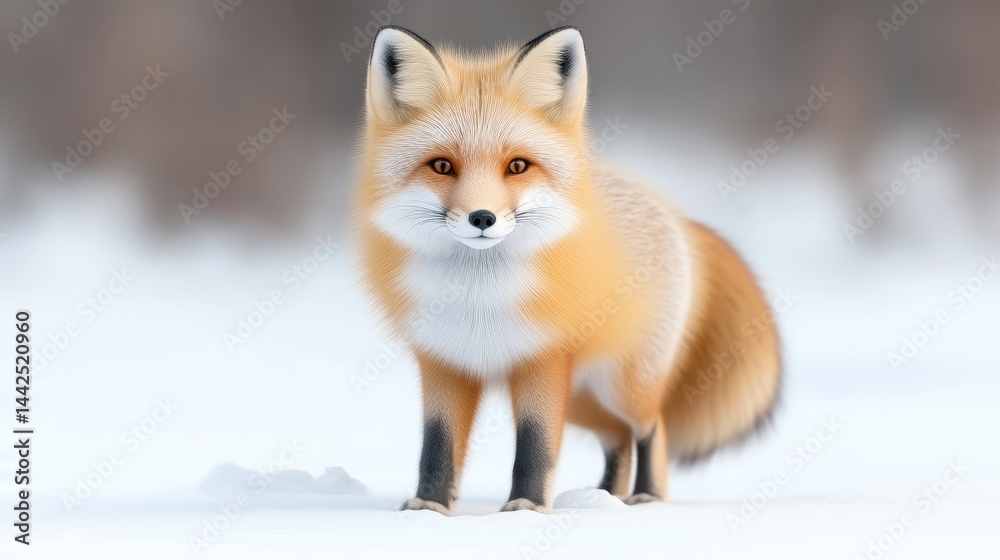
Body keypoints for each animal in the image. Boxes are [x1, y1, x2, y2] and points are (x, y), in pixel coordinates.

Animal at [353, 25, 780, 514]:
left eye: (517, 166)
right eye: (442, 165)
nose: (482, 217)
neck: (478, 299)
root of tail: (672, 214)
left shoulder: (544, 361)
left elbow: (536, 444)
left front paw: (526, 507)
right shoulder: (445, 362)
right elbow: (437, 444)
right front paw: (429, 508)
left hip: (621, 387)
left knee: (651, 428)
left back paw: (646, 496)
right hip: (583, 401)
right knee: (617, 437)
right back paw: (605, 497)